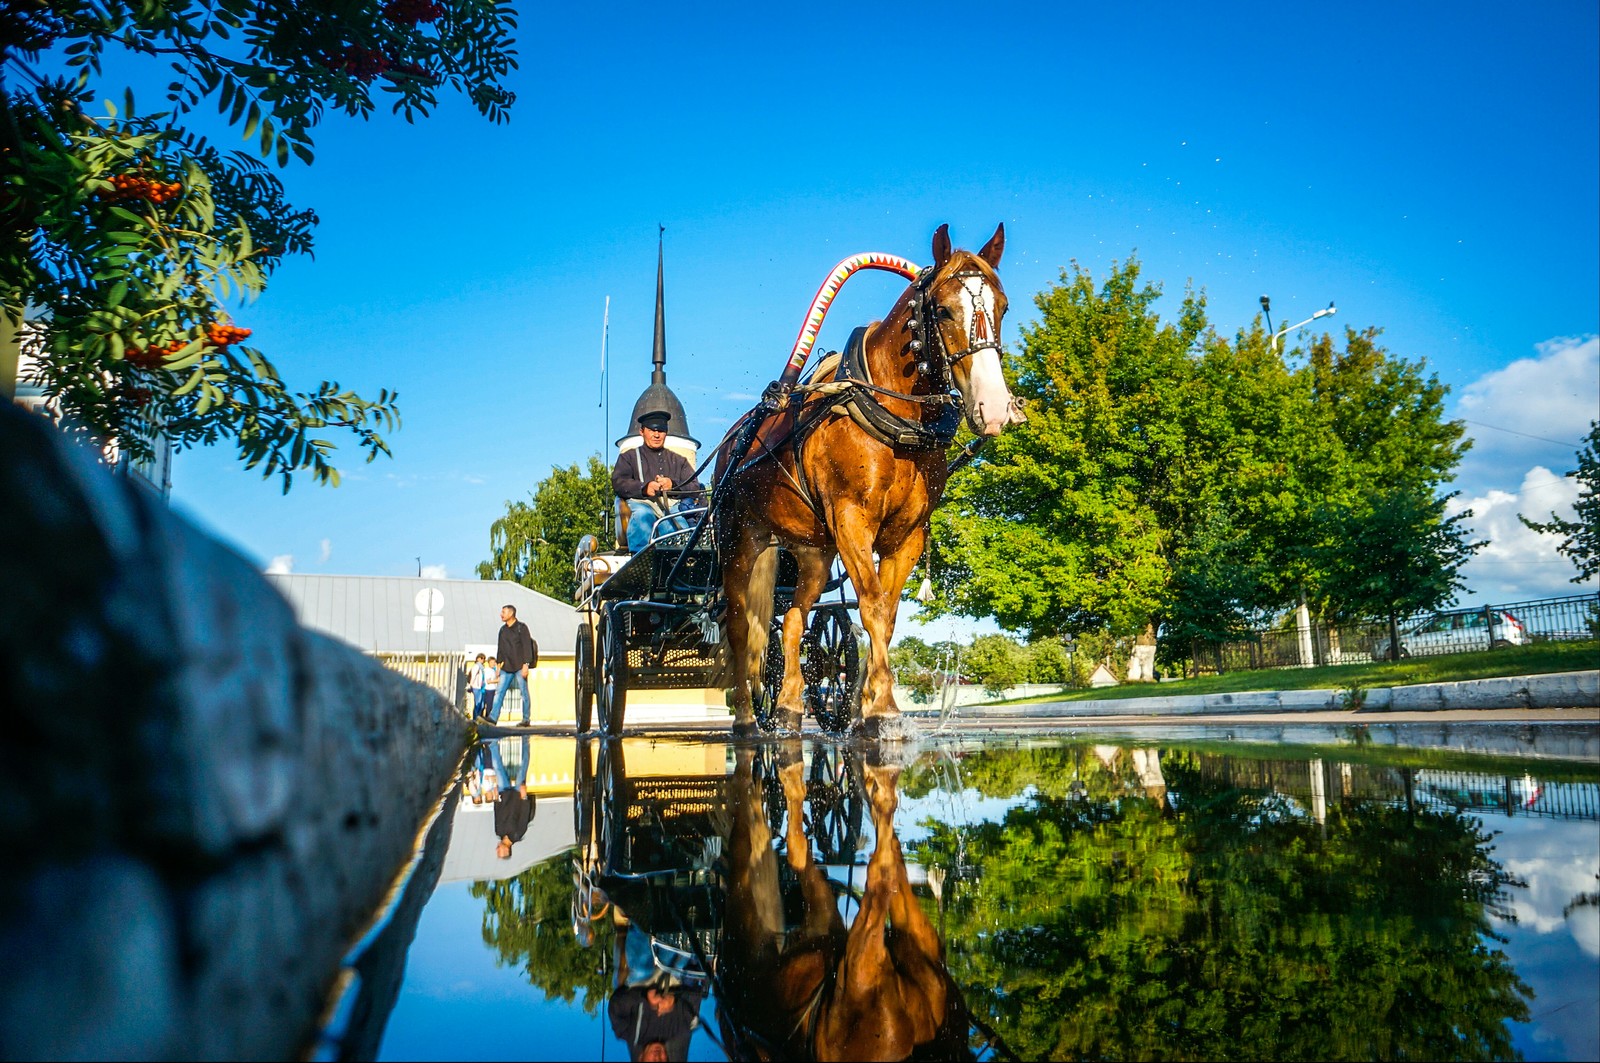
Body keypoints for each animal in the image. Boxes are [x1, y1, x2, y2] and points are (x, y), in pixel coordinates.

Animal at [716, 224, 1017, 736]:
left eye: (1003, 306)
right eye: (942, 309)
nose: (994, 408)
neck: (895, 417)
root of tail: (733, 442)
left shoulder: (907, 535)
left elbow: (888, 615)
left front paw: (865, 703)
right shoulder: (852, 521)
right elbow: (873, 605)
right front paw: (883, 708)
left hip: (814, 552)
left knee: (792, 619)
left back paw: (789, 704)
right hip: (741, 540)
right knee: (741, 627)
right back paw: (745, 716)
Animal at [723, 742, 972, 1056]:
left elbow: (793, 848)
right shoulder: (824, 916)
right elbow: (799, 851)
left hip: (858, 974)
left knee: (881, 870)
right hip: (908, 946)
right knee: (891, 861)